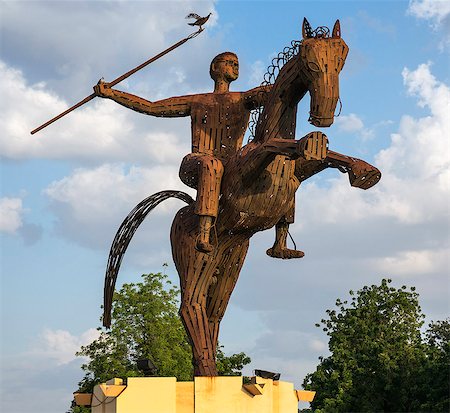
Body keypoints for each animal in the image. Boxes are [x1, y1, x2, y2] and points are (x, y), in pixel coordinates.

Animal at [102, 19, 380, 374]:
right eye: (310, 61)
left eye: (341, 58)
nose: (324, 116)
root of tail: (185, 210)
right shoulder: (250, 168)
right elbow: (274, 144)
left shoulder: (296, 174)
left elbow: (323, 156)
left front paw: (363, 170)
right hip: (196, 256)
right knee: (190, 306)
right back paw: (208, 374)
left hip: (232, 257)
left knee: (213, 314)